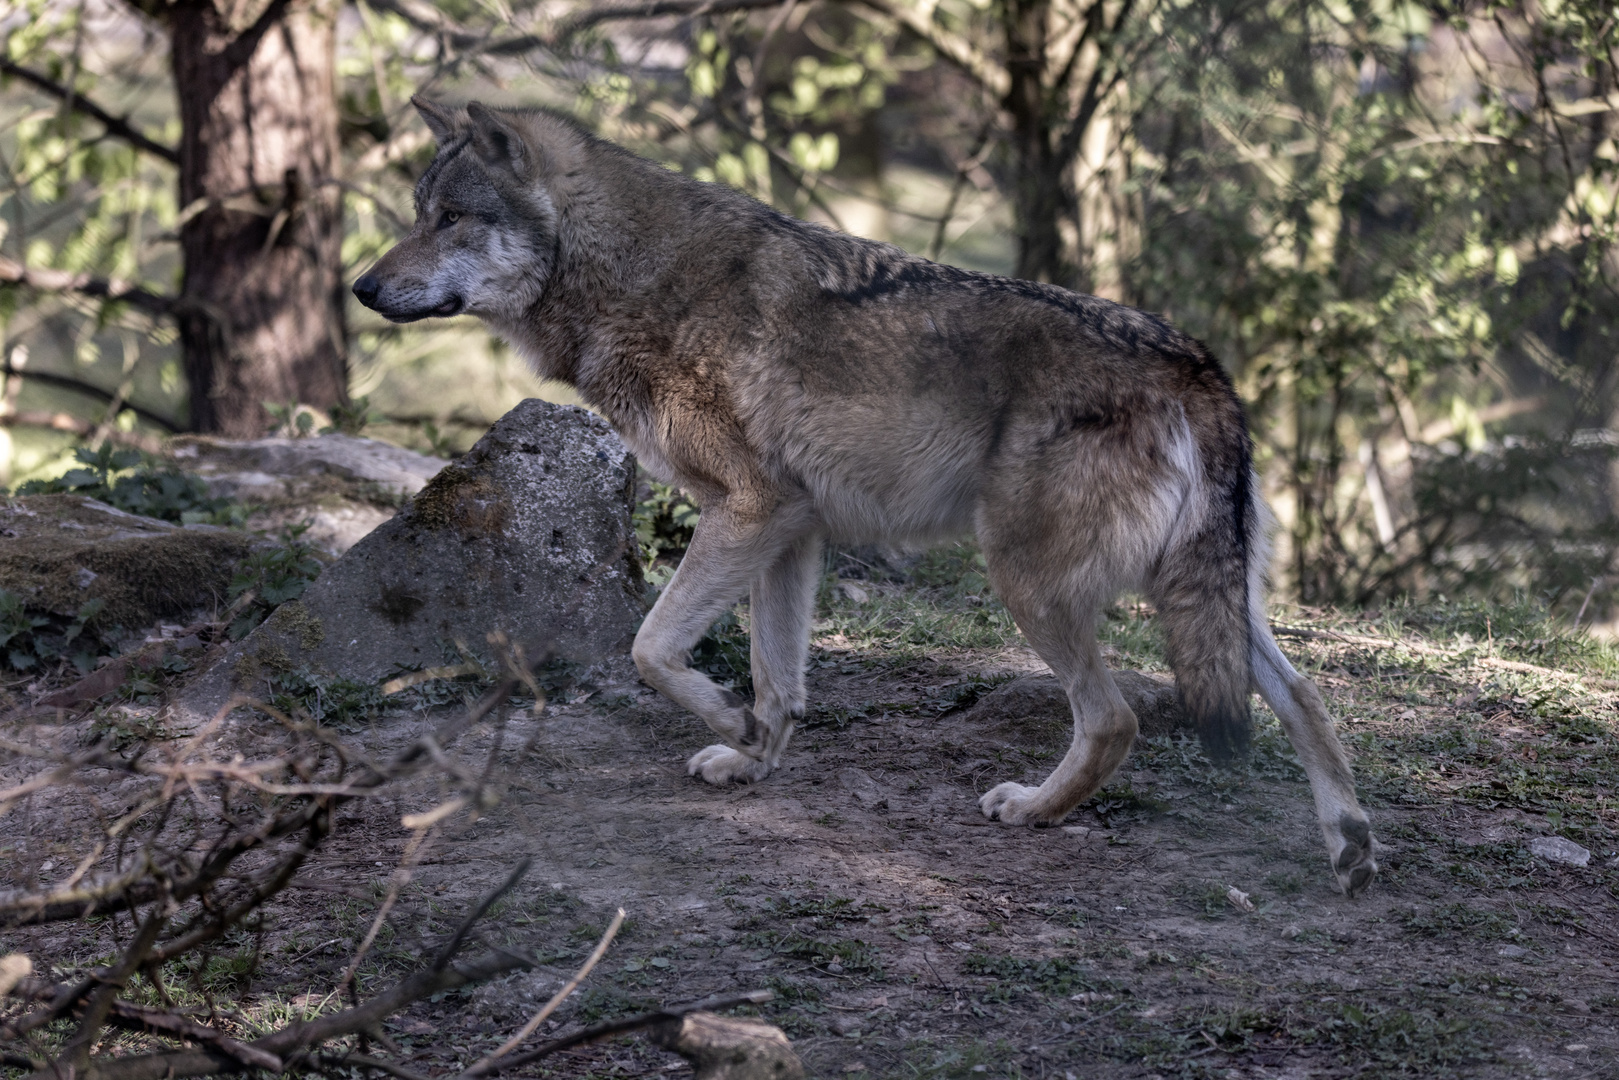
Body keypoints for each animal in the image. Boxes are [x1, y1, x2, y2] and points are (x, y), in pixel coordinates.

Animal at [354, 99, 1379, 893]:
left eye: (450, 217)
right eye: (419, 212)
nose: (361, 286)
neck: (629, 276)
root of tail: (1195, 361)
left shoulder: (749, 510)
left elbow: (650, 649)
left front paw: (729, 723)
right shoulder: (790, 530)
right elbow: (777, 674)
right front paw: (753, 756)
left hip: (1025, 582)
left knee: (1115, 717)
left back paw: (1032, 809)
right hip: (1209, 602)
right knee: (1307, 699)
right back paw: (1350, 847)